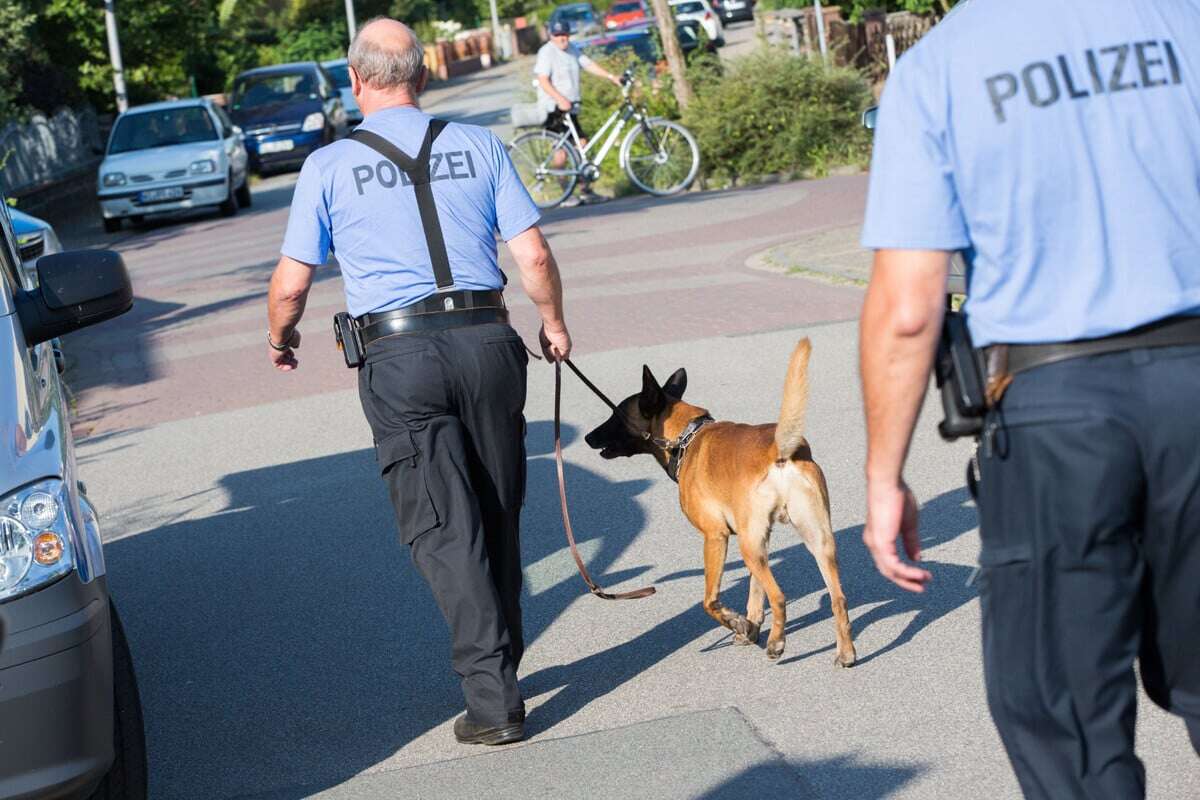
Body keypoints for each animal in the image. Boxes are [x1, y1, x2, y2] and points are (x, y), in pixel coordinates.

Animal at [585, 340, 859, 666]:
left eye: (615, 416)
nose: (588, 436)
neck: (686, 436)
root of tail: (780, 451)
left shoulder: (716, 537)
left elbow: (710, 601)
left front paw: (738, 623)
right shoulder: (760, 538)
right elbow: (755, 593)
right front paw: (750, 627)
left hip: (750, 547)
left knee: (779, 597)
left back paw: (777, 643)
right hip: (813, 542)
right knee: (838, 598)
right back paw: (846, 652)